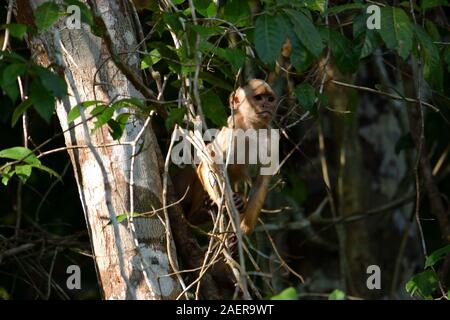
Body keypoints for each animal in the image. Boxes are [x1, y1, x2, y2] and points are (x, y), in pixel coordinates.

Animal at [175, 79, 278, 236]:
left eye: (270, 99)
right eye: (259, 98)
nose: (266, 105)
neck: (252, 128)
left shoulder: (271, 139)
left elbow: (262, 180)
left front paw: (243, 231)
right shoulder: (231, 130)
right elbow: (209, 160)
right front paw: (219, 202)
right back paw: (198, 214)